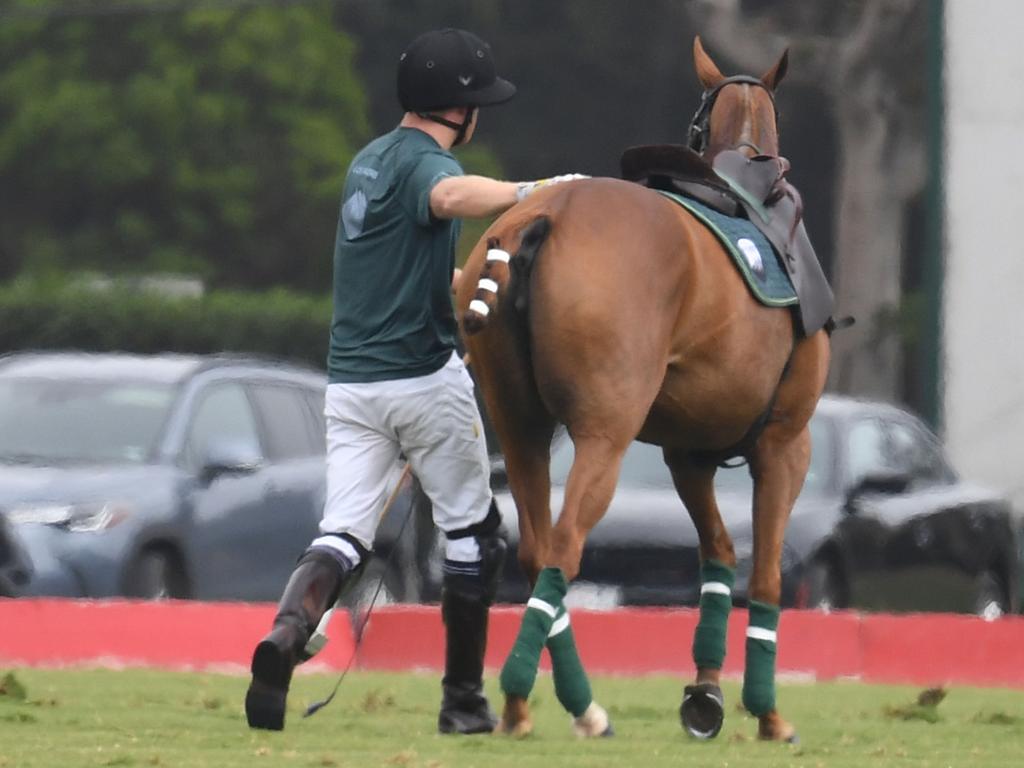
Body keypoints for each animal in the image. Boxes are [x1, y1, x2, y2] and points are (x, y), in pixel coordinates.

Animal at [460, 37, 827, 745]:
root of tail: (543, 214)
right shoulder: (785, 443)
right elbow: (765, 574)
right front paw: (766, 712)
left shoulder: (687, 455)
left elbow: (718, 555)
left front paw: (705, 694)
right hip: (606, 432)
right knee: (566, 545)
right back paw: (540, 696)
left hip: (519, 427)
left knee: (537, 550)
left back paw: (543, 707)